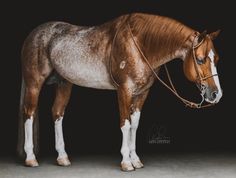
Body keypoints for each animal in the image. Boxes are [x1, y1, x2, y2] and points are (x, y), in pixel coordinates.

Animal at [17, 12, 222, 171]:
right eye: (200, 59)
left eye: (216, 59)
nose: (216, 94)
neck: (139, 44)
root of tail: (33, 34)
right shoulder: (124, 90)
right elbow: (125, 124)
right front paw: (126, 162)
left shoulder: (142, 94)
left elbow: (135, 125)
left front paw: (136, 160)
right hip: (34, 84)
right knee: (29, 113)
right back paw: (31, 158)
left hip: (64, 84)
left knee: (57, 114)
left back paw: (62, 157)